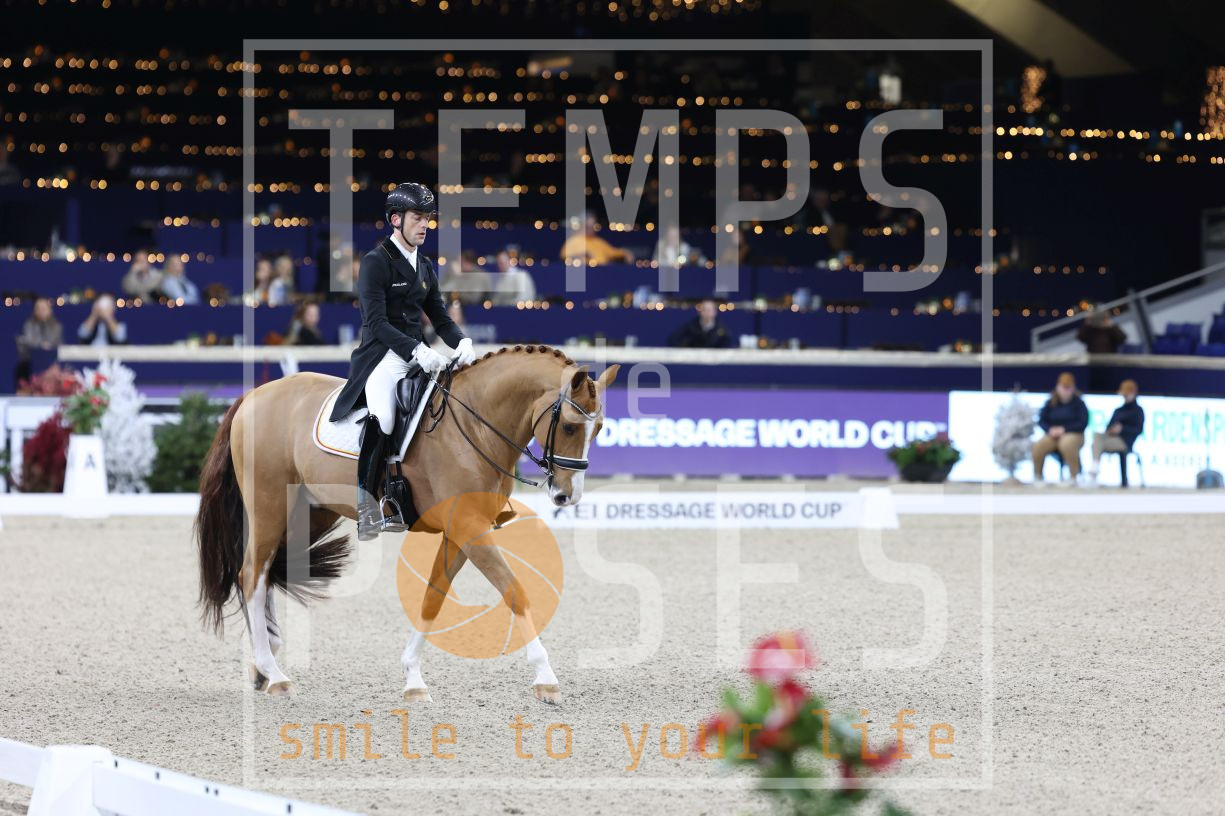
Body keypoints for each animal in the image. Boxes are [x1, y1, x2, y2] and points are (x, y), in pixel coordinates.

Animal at [195, 344, 620, 703]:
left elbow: (433, 598)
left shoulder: (462, 531)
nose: (567, 496)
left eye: (598, 430)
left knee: (267, 573)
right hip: (269, 505)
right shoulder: (470, 528)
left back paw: (263, 666)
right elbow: (514, 591)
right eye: (569, 427)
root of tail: (254, 396)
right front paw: (546, 679)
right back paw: (275, 673)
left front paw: (413, 679)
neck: (475, 425)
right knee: (252, 575)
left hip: (309, 514)